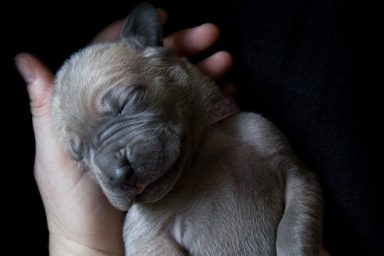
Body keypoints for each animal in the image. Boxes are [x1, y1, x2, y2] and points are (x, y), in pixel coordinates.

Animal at [51, 2, 324, 256]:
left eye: (127, 102)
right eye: (79, 157)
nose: (120, 176)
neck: (201, 148)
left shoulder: (292, 169)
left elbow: (293, 227)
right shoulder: (146, 236)